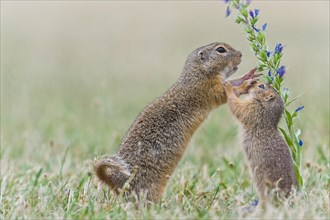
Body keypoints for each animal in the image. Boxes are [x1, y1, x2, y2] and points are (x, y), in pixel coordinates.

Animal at [94, 42, 260, 202]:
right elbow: (227, 92)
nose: (240, 54)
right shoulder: (209, 89)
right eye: (220, 50)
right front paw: (246, 84)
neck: (197, 73)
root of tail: (118, 182)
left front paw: (249, 75)